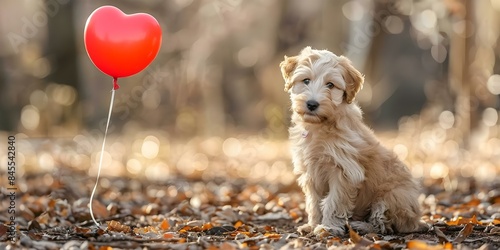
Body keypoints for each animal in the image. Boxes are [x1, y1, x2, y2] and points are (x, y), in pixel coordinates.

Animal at [280, 47, 428, 236]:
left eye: (330, 85)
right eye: (306, 80)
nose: (312, 104)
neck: (322, 125)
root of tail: (415, 220)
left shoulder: (345, 171)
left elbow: (333, 201)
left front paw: (328, 227)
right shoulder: (311, 173)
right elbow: (314, 202)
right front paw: (312, 225)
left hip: (392, 196)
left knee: (384, 224)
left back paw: (361, 226)